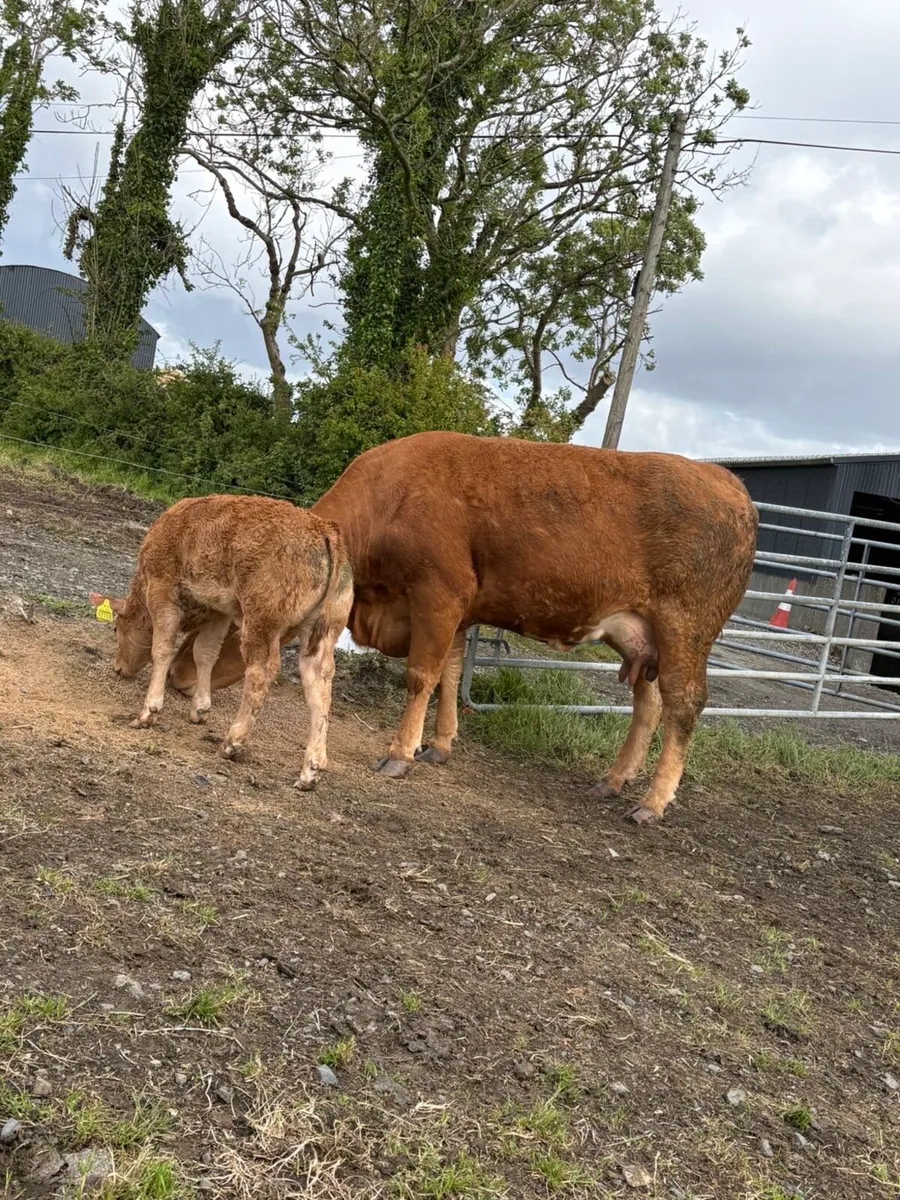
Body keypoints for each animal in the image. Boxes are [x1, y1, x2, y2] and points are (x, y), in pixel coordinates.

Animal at [90, 494, 353, 791]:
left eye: (116, 628)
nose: (119, 668)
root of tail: (325, 531)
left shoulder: (162, 587)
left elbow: (163, 647)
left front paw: (149, 711)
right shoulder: (218, 610)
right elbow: (205, 652)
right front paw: (200, 708)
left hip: (261, 622)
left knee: (260, 674)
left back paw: (232, 742)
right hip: (322, 631)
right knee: (318, 683)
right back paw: (311, 769)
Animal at [168, 433, 758, 823]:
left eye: (209, 635)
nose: (177, 679)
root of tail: (725, 480)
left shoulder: (439, 596)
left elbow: (420, 676)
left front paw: (400, 754)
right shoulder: (457, 613)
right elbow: (449, 675)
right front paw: (440, 745)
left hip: (685, 629)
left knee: (684, 704)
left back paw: (652, 803)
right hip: (639, 634)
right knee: (649, 703)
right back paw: (613, 781)